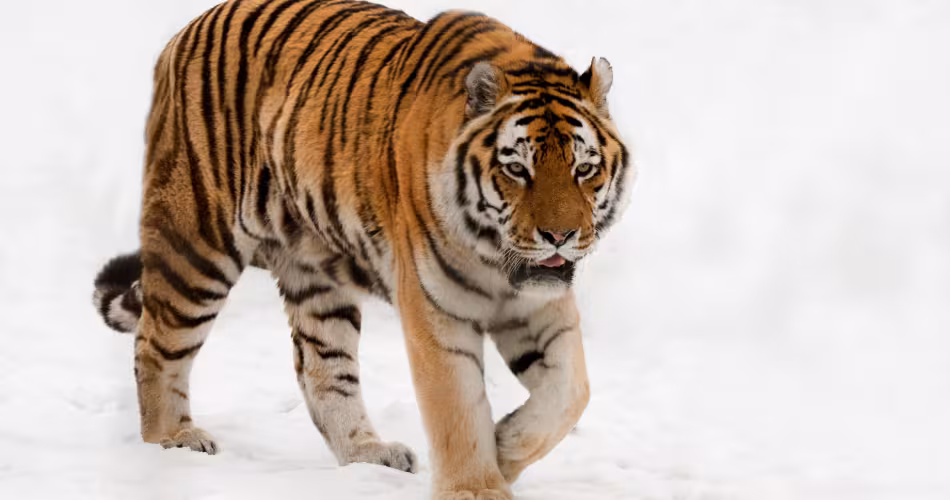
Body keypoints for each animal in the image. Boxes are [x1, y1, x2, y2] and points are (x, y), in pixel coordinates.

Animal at [91, 0, 633, 498]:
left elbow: (570, 392)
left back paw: (367, 454)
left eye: (584, 169)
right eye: (517, 169)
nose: (559, 237)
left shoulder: (539, 304)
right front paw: (477, 487)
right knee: (154, 345)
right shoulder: (436, 311)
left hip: (315, 275)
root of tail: (187, 29)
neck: (494, 261)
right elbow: (457, 405)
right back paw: (171, 443)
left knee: (320, 369)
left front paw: (502, 447)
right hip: (197, 241)